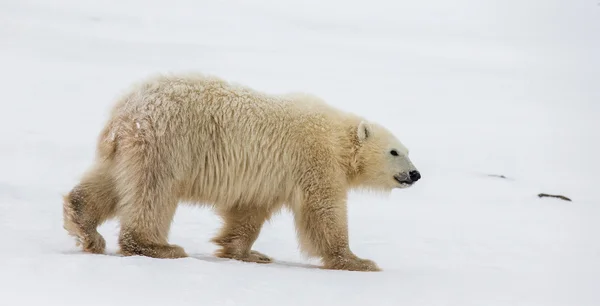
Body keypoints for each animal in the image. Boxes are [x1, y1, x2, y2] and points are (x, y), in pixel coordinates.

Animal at [62, 73, 422, 272]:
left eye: (408, 150)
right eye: (395, 152)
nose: (415, 174)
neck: (337, 137)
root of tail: (125, 109)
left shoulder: (267, 177)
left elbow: (249, 211)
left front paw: (247, 253)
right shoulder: (314, 159)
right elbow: (323, 212)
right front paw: (358, 261)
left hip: (129, 148)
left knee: (109, 182)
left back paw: (85, 226)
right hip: (168, 142)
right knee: (153, 191)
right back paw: (158, 247)